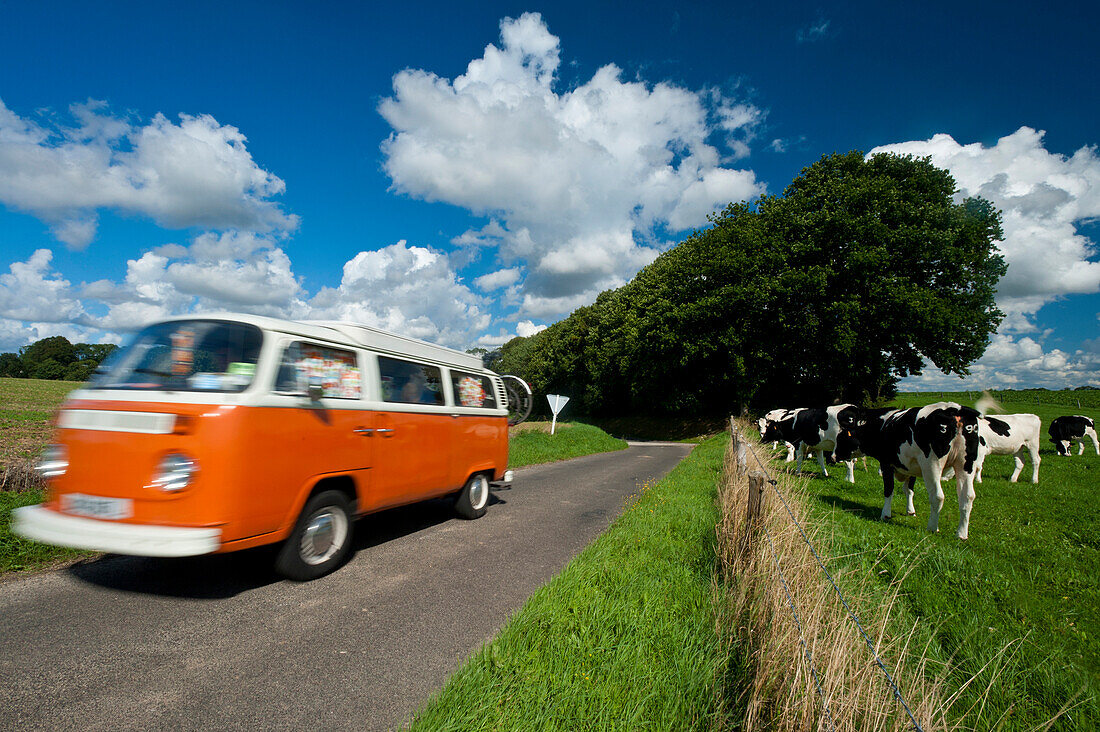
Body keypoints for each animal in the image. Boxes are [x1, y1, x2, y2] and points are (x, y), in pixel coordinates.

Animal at [836, 400, 985, 537]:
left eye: (841, 438)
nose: (833, 456)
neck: (882, 427)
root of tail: (954, 408)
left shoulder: (886, 464)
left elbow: (889, 489)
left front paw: (885, 514)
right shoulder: (912, 468)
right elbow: (909, 490)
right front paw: (910, 510)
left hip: (932, 465)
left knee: (938, 496)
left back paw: (932, 527)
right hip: (966, 465)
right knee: (967, 496)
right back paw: (961, 534)